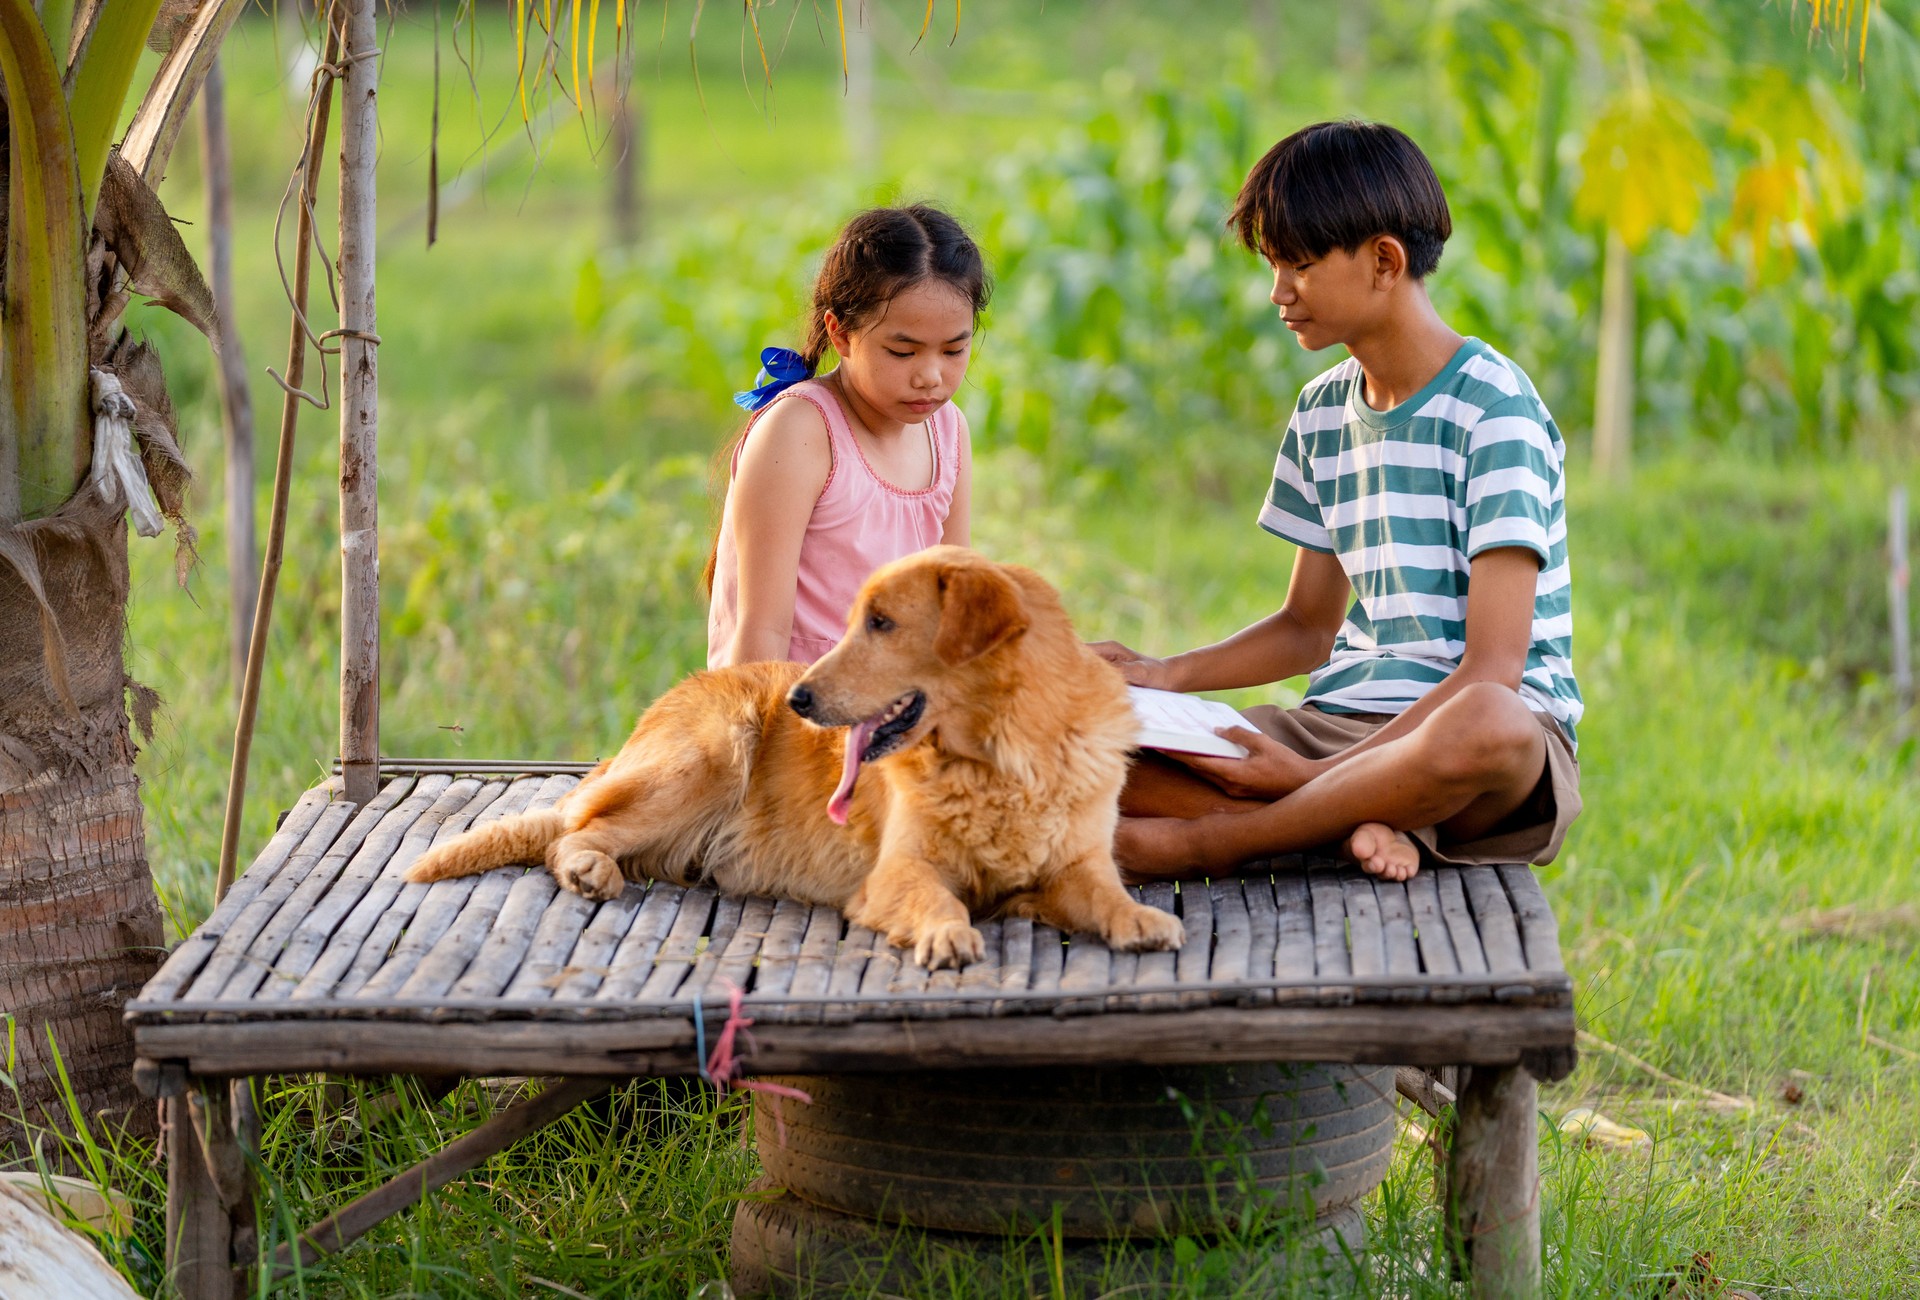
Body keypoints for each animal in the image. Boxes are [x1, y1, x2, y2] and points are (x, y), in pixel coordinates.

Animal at [408, 545, 1182, 963]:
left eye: (881, 623)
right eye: (857, 620)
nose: (799, 700)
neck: (1001, 759)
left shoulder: (1076, 864)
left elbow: (1105, 893)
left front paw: (1139, 920)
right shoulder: (897, 873)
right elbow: (939, 899)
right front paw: (947, 934)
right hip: (713, 755)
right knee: (570, 833)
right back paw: (590, 870)